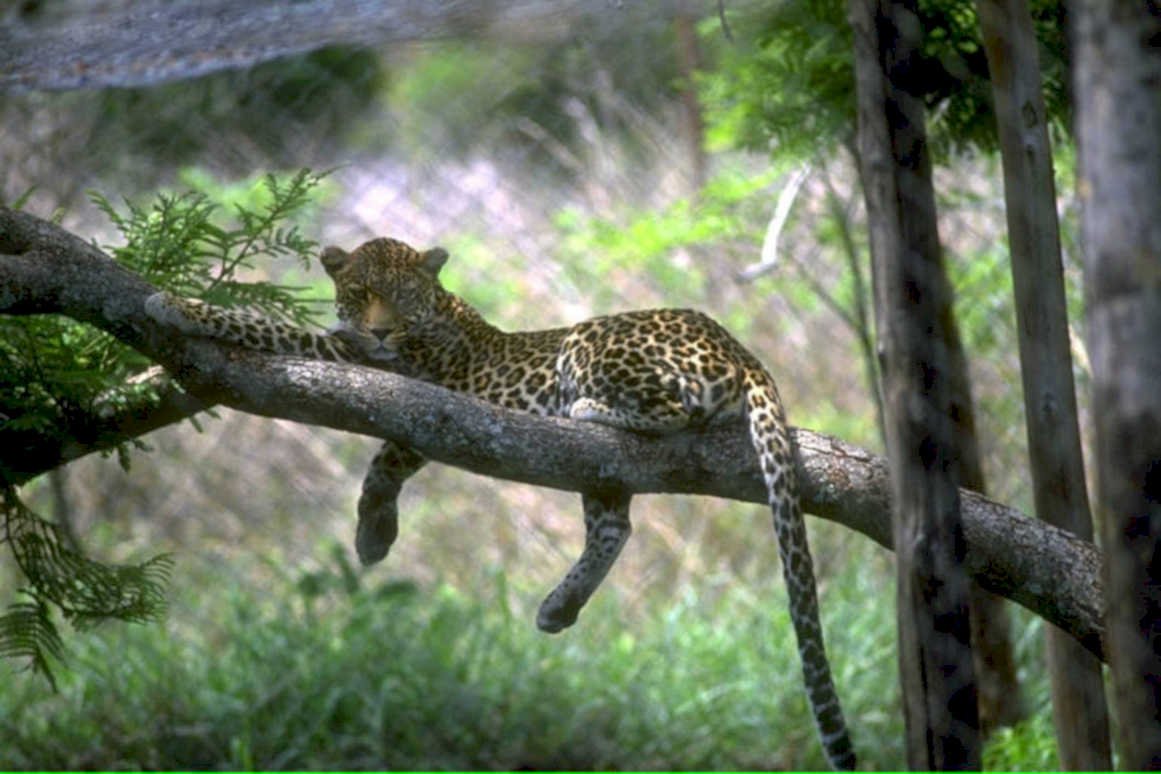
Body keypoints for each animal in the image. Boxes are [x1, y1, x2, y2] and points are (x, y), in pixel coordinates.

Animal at [145, 236, 856, 769]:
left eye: (401, 297)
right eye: (362, 292)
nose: (383, 331)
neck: (437, 313)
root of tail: (737, 343)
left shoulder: (372, 366)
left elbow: (266, 329)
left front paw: (172, 303)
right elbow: (387, 455)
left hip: (591, 341)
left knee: (669, 413)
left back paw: (589, 409)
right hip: (598, 469)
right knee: (614, 526)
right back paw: (559, 606)